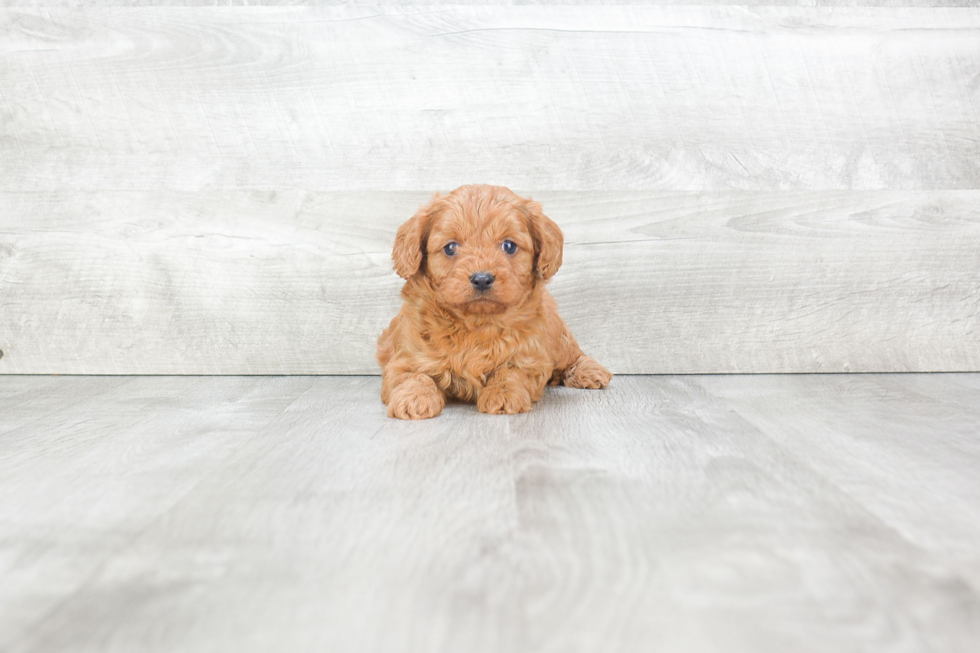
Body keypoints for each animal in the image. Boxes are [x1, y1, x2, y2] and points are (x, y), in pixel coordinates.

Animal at [378, 183, 608, 418]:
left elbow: (510, 371)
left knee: (573, 354)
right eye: (450, 247)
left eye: (509, 246)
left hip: (558, 336)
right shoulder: (404, 357)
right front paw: (413, 399)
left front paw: (503, 394)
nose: (482, 279)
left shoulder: (530, 358)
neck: (477, 323)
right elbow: (412, 375)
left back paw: (589, 372)